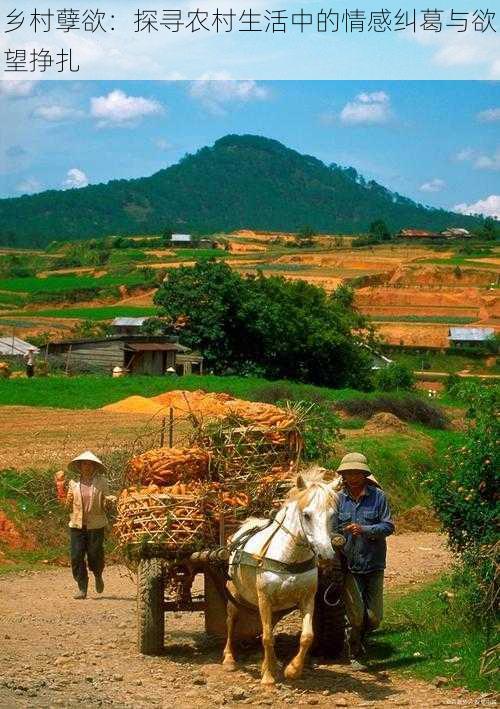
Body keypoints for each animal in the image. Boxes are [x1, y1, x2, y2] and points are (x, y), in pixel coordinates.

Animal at [224, 468, 344, 684]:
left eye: (333, 515)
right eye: (307, 515)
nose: (326, 555)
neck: (289, 559)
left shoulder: (307, 599)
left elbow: (306, 636)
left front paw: (292, 670)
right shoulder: (264, 598)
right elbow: (267, 637)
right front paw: (268, 677)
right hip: (234, 594)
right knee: (231, 621)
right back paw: (229, 659)